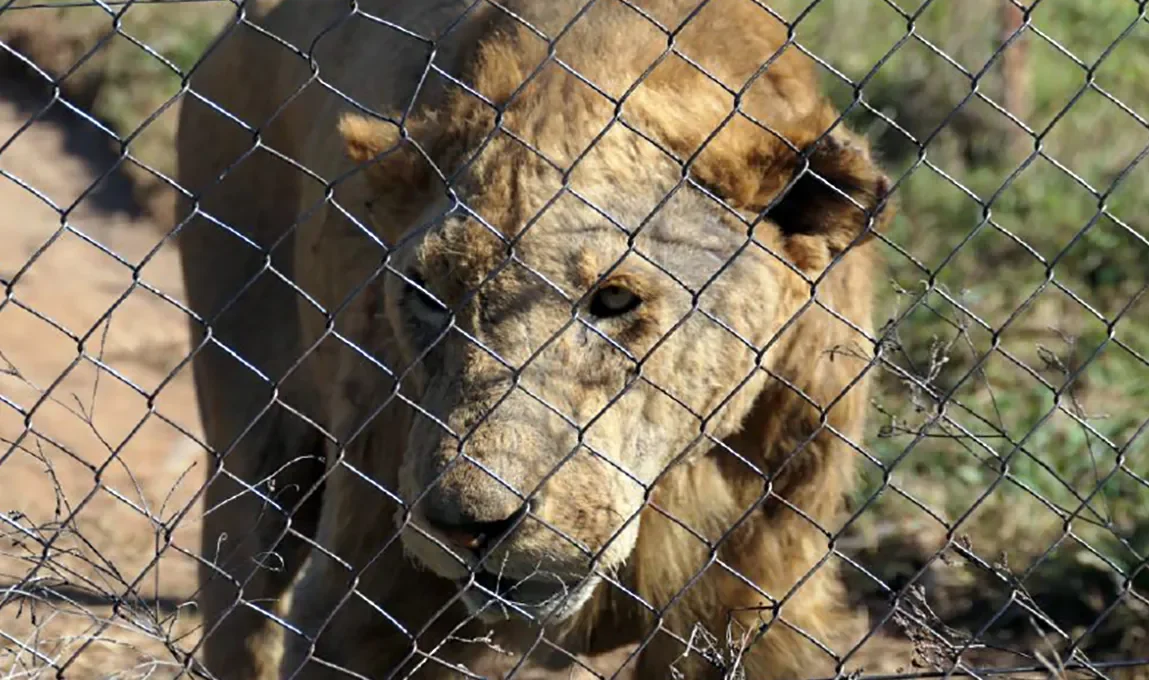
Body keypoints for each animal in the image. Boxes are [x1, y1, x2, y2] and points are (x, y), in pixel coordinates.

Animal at [176, 1, 896, 680]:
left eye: (615, 299)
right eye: (428, 294)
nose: (467, 528)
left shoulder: (749, 600)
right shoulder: (369, 605)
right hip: (259, 434)